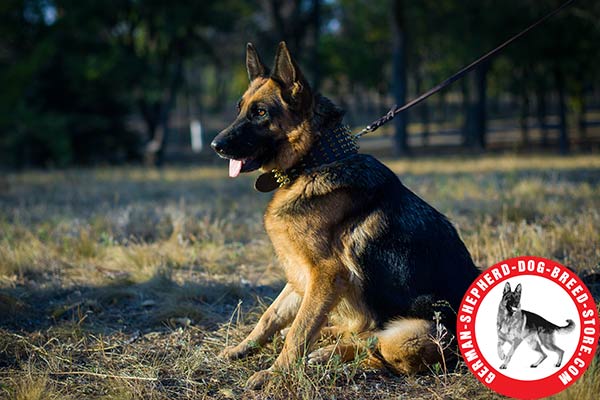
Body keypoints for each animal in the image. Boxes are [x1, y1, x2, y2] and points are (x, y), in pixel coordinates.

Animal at [211, 42, 478, 390]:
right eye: (240, 109)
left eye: (261, 113)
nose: (215, 145)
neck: (314, 162)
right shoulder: (302, 273)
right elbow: (272, 316)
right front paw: (243, 348)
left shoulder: (325, 274)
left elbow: (299, 332)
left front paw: (274, 373)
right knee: (362, 332)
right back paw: (328, 340)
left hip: (419, 331)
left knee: (376, 345)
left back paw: (329, 354)